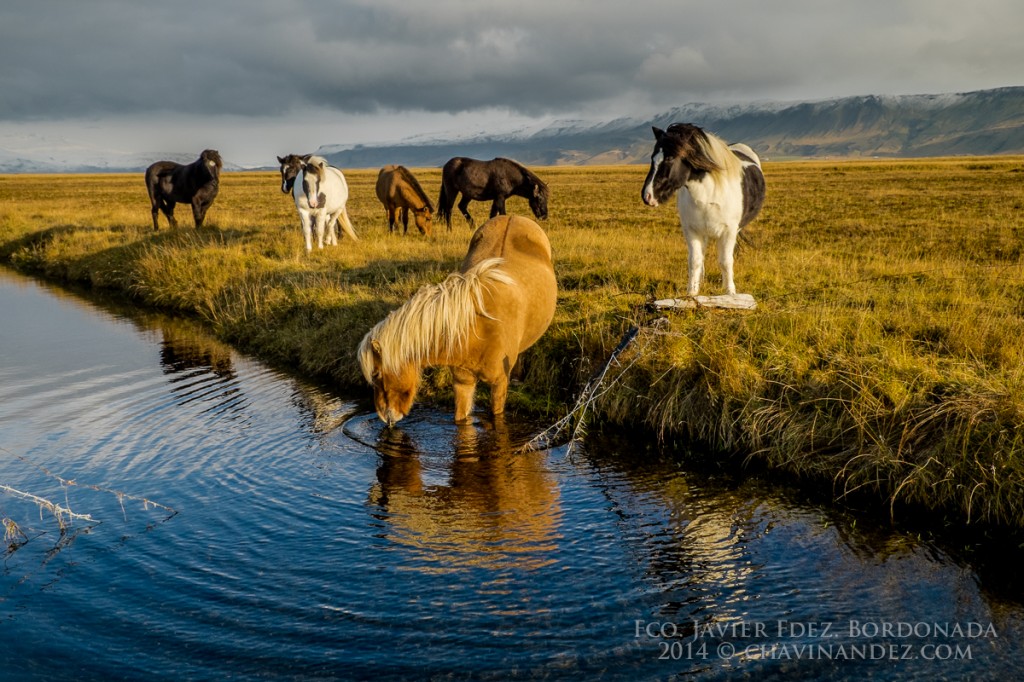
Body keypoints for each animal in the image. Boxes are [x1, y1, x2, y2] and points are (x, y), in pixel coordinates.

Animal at [356, 215, 557, 421]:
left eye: (376, 374)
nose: (385, 417)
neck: (476, 327)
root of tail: (514, 216)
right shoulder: (462, 382)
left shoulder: (499, 385)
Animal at [634, 123, 765, 292]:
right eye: (652, 158)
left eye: (670, 158)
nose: (647, 196)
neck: (709, 195)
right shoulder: (692, 230)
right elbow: (695, 260)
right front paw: (692, 292)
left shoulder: (729, 231)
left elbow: (725, 261)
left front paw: (730, 292)